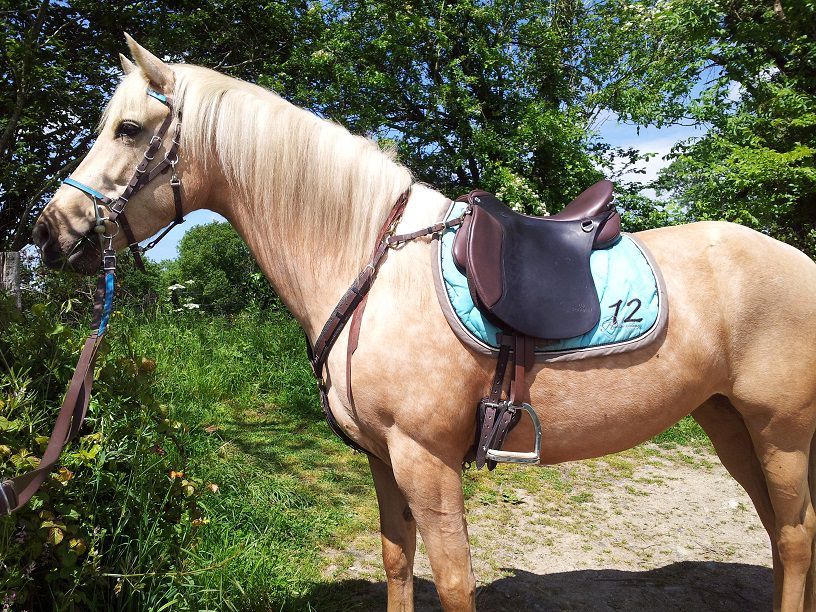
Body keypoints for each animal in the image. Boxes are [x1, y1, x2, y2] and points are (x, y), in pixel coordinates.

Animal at [32, 36, 816, 611]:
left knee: (795, 537)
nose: (49, 234)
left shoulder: (425, 459)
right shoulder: (383, 458)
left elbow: (456, 581)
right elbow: (396, 561)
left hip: (779, 430)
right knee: (784, 535)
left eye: (129, 129)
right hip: (727, 422)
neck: (370, 262)